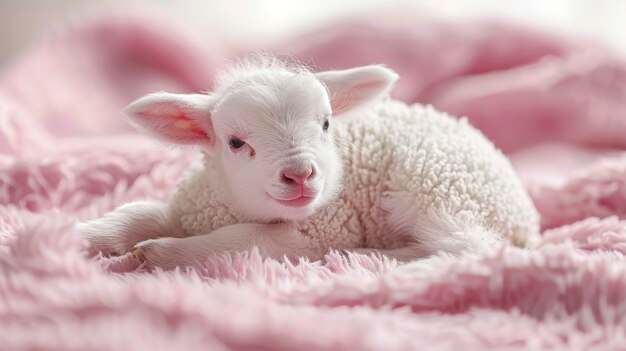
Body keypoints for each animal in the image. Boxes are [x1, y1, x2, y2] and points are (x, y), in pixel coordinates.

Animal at [75, 56, 540, 270]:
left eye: (326, 123)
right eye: (235, 142)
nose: (300, 174)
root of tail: (525, 217)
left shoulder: (313, 233)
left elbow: (242, 241)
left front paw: (161, 252)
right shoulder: (196, 204)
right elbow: (140, 212)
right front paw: (85, 236)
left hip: (437, 186)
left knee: (466, 248)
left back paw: (375, 259)